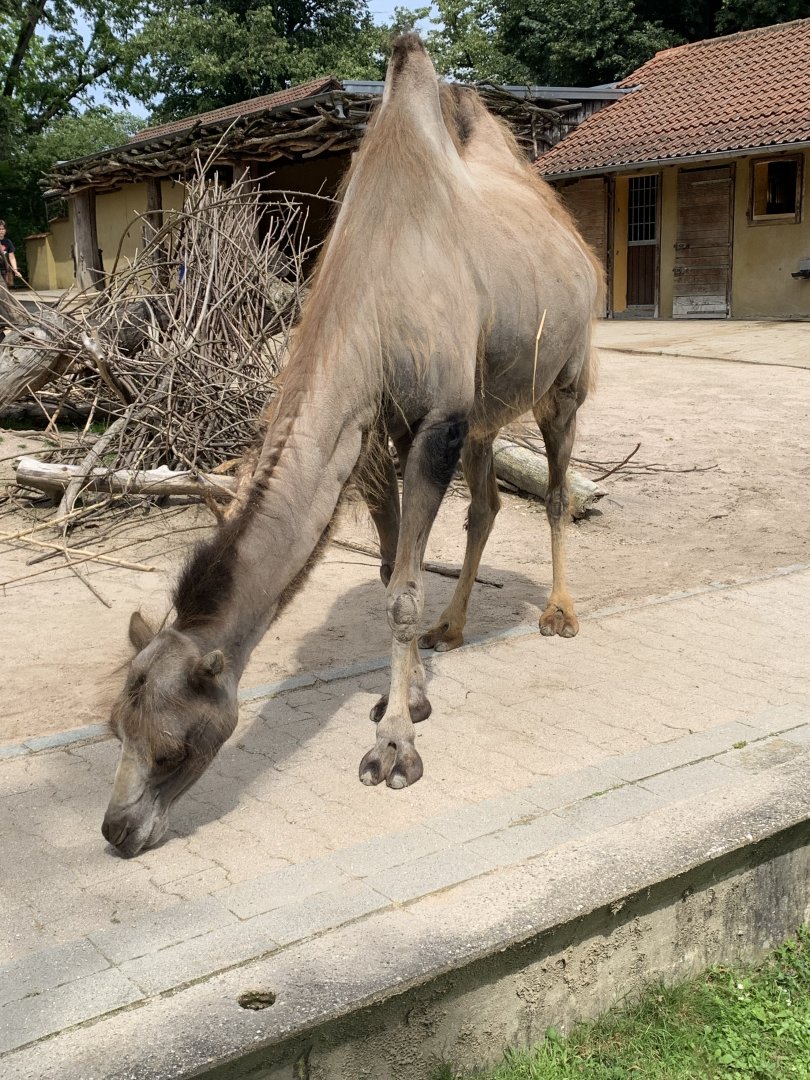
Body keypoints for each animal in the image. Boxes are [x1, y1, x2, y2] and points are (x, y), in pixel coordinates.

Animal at [102, 33, 601, 857]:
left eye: (174, 746)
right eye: (116, 728)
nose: (117, 829)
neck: (375, 290)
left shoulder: (436, 418)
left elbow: (400, 593)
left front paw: (395, 745)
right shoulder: (378, 431)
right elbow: (387, 569)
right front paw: (412, 693)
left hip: (566, 373)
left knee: (559, 486)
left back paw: (559, 613)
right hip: (486, 408)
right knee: (487, 506)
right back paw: (453, 627)